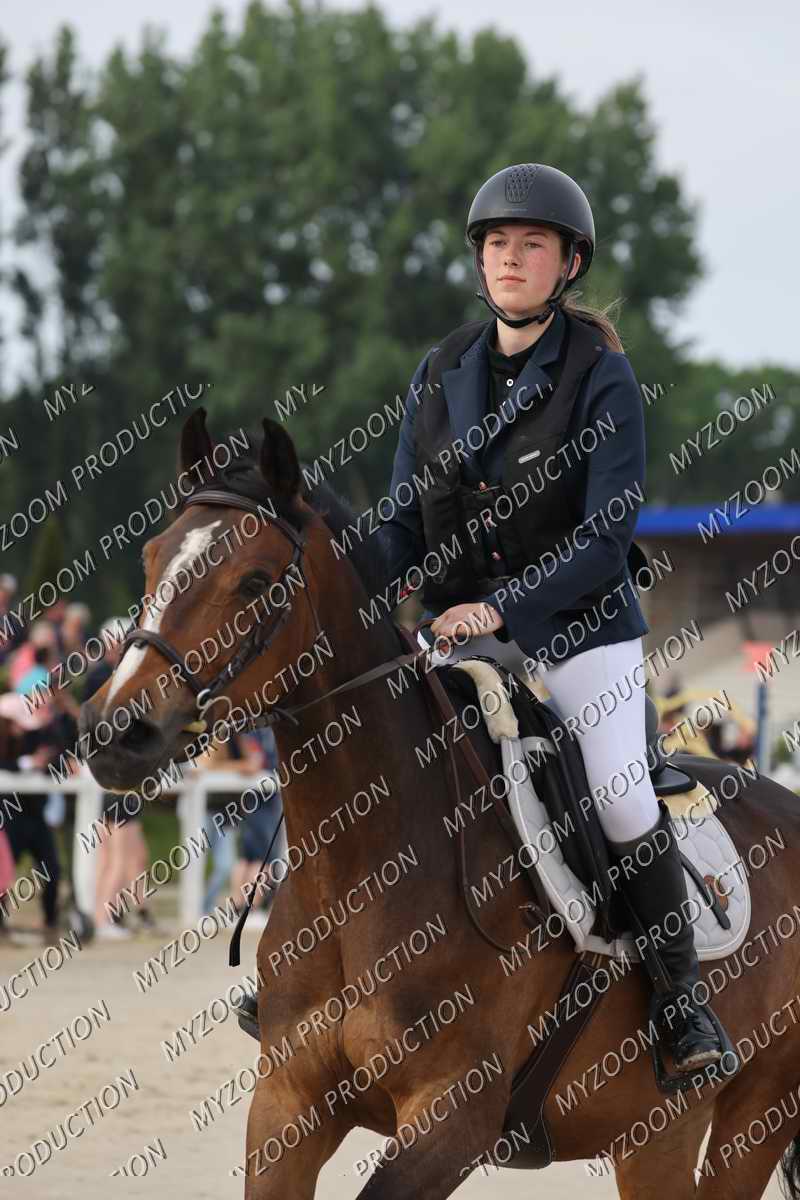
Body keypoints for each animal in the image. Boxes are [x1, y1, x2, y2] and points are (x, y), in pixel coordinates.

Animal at [80, 407, 800, 1199]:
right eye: (151, 560)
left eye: (256, 582)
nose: (115, 732)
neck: (362, 871)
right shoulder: (286, 1104)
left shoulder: (454, 1115)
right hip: (658, 1130)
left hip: (749, 1113)